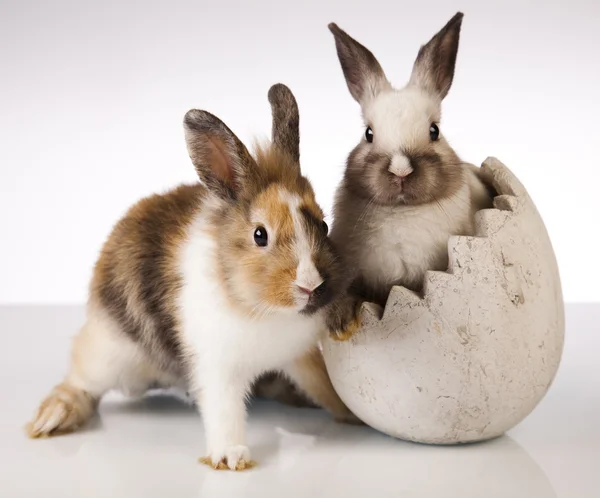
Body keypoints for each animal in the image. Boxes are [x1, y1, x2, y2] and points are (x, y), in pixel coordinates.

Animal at [27, 83, 356, 468]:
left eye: (323, 225)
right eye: (260, 235)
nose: (311, 286)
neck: (263, 310)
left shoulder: (300, 354)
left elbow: (323, 385)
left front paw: (353, 416)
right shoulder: (217, 367)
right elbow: (224, 411)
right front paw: (231, 458)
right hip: (106, 352)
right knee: (79, 381)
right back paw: (51, 418)